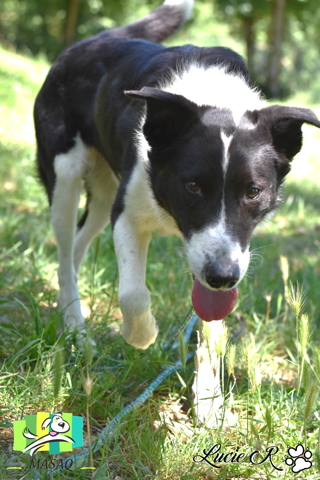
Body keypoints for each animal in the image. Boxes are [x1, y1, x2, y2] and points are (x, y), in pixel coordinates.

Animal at [35, 0, 320, 424]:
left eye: (253, 192)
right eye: (193, 186)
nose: (222, 276)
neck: (214, 98)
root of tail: (92, 41)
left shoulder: (220, 255)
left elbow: (211, 326)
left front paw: (209, 399)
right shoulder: (128, 215)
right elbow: (133, 294)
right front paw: (142, 336)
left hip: (102, 193)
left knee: (76, 249)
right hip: (65, 178)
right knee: (66, 248)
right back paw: (76, 328)